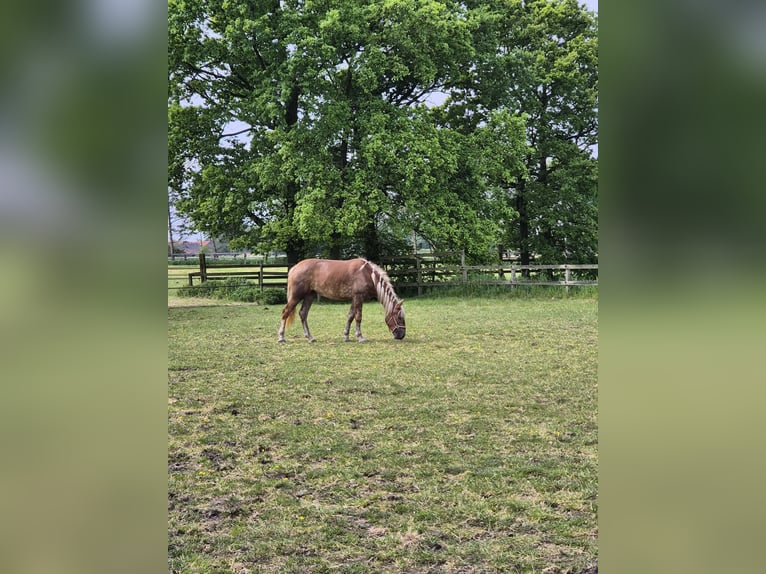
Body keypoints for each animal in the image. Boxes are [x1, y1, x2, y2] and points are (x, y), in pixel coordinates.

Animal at [277, 258, 405, 343]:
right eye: (399, 317)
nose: (402, 335)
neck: (367, 274)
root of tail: (294, 267)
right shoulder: (358, 297)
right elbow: (358, 317)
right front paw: (360, 337)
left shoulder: (354, 298)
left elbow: (350, 316)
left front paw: (346, 336)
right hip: (296, 296)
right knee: (285, 312)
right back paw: (281, 337)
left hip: (310, 295)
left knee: (303, 313)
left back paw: (310, 337)